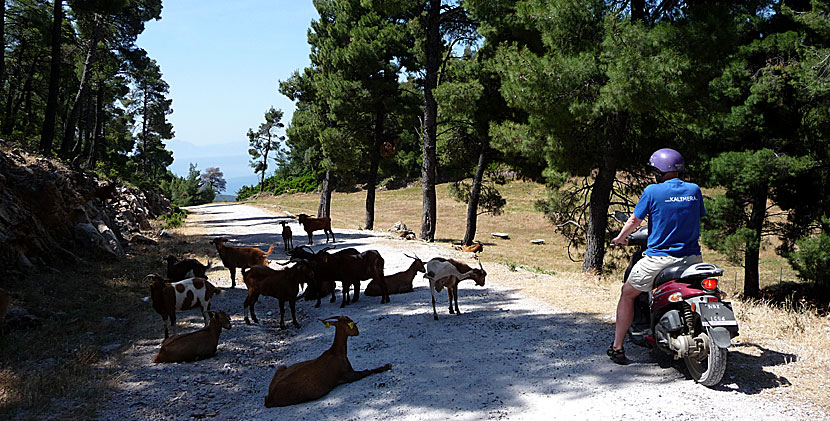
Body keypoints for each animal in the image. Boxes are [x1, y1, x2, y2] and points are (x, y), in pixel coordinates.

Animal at [264, 316, 392, 406]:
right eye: (350, 323)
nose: (357, 331)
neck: (336, 353)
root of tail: (270, 397)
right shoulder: (347, 375)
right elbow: (366, 371)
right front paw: (387, 365)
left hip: (283, 367)